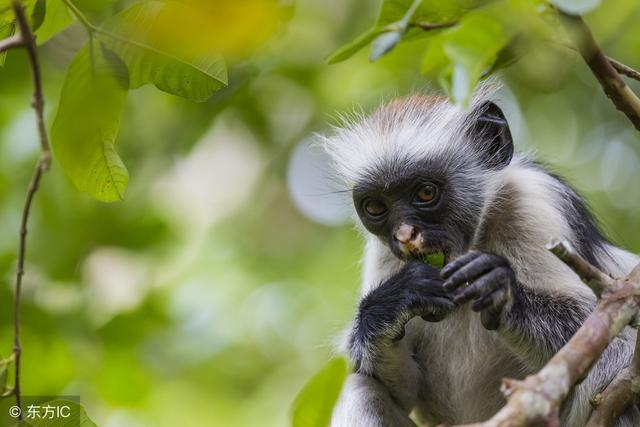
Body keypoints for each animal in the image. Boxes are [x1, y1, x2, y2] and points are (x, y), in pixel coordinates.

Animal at [320, 84, 640, 427]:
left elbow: (613, 335)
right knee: (358, 387)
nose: (405, 235)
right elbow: (401, 386)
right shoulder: (384, 253)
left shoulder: (535, 202)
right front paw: (391, 304)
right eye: (376, 207)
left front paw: (502, 291)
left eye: (425, 193)